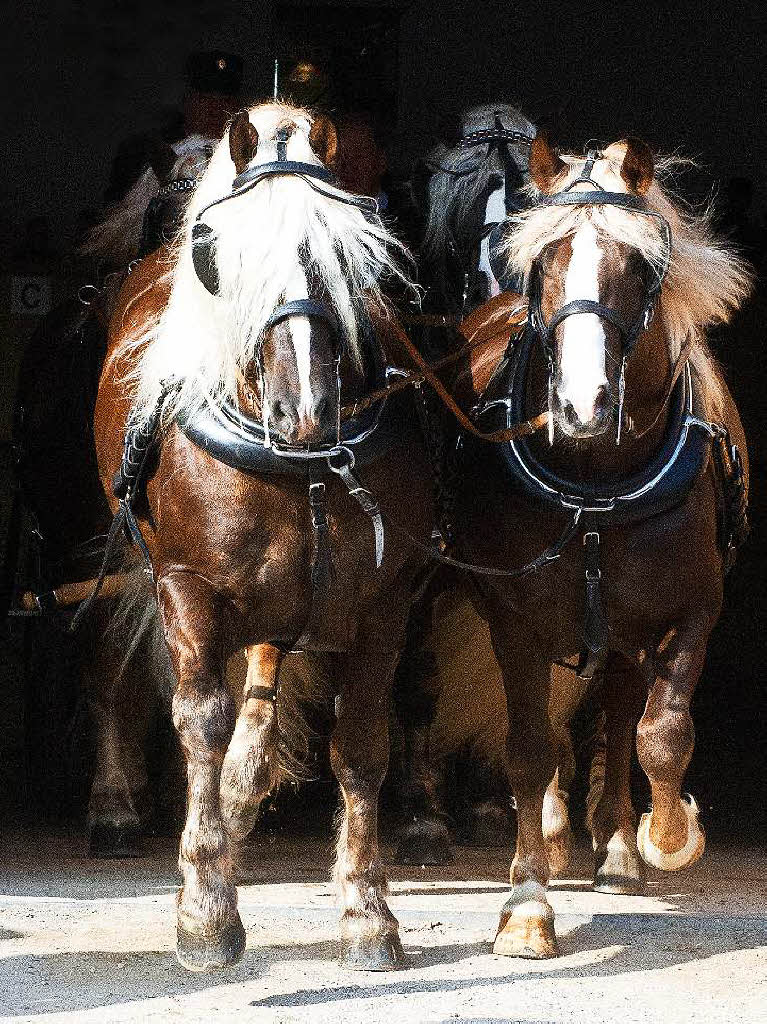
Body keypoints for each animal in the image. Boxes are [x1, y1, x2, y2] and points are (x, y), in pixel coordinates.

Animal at [93, 105, 434, 974]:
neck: (300, 463)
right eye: (221, 254)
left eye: (354, 252)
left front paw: (366, 910)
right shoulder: (187, 586)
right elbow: (201, 722)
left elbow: (361, 744)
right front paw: (205, 910)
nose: (304, 408)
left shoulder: (383, 602)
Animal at [446, 138, 749, 958]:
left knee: (616, 717)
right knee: (556, 726)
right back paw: (553, 836)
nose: (582, 405)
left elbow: (661, 735)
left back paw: (615, 846)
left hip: (618, 633)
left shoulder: (693, 611)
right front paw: (526, 905)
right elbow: (528, 749)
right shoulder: (515, 620)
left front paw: (667, 836)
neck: (595, 485)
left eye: (640, 268)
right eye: (542, 264)